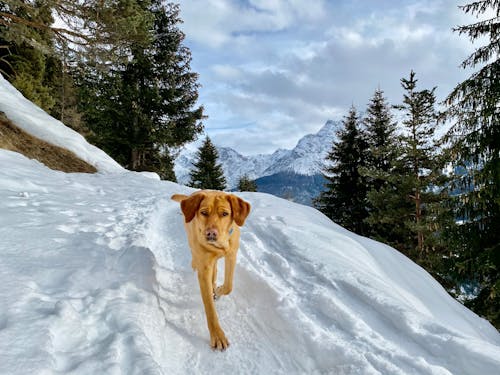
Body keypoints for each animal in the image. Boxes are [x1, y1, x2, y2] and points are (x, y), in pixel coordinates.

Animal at [171, 191, 250, 352]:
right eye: (204, 213)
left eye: (225, 214)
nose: (211, 233)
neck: (219, 246)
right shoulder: (204, 268)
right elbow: (209, 308)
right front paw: (218, 335)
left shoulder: (231, 256)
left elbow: (229, 286)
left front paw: (218, 290)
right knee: (196, 259)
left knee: (215, 271)